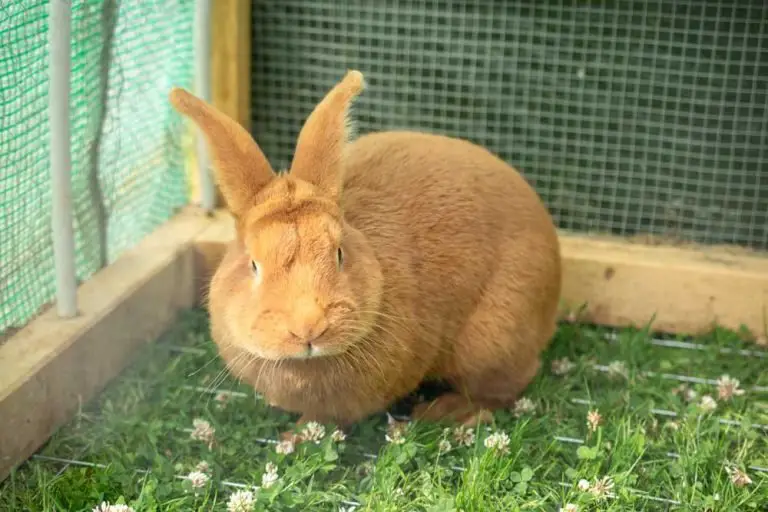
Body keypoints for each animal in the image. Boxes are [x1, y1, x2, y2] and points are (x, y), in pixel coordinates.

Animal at [169, 70, 561, 433]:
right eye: (253, 264)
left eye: (340, 254)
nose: (309, 327)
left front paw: (296, 437)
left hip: (492, 341)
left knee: (505, 386)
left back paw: (448, 411)